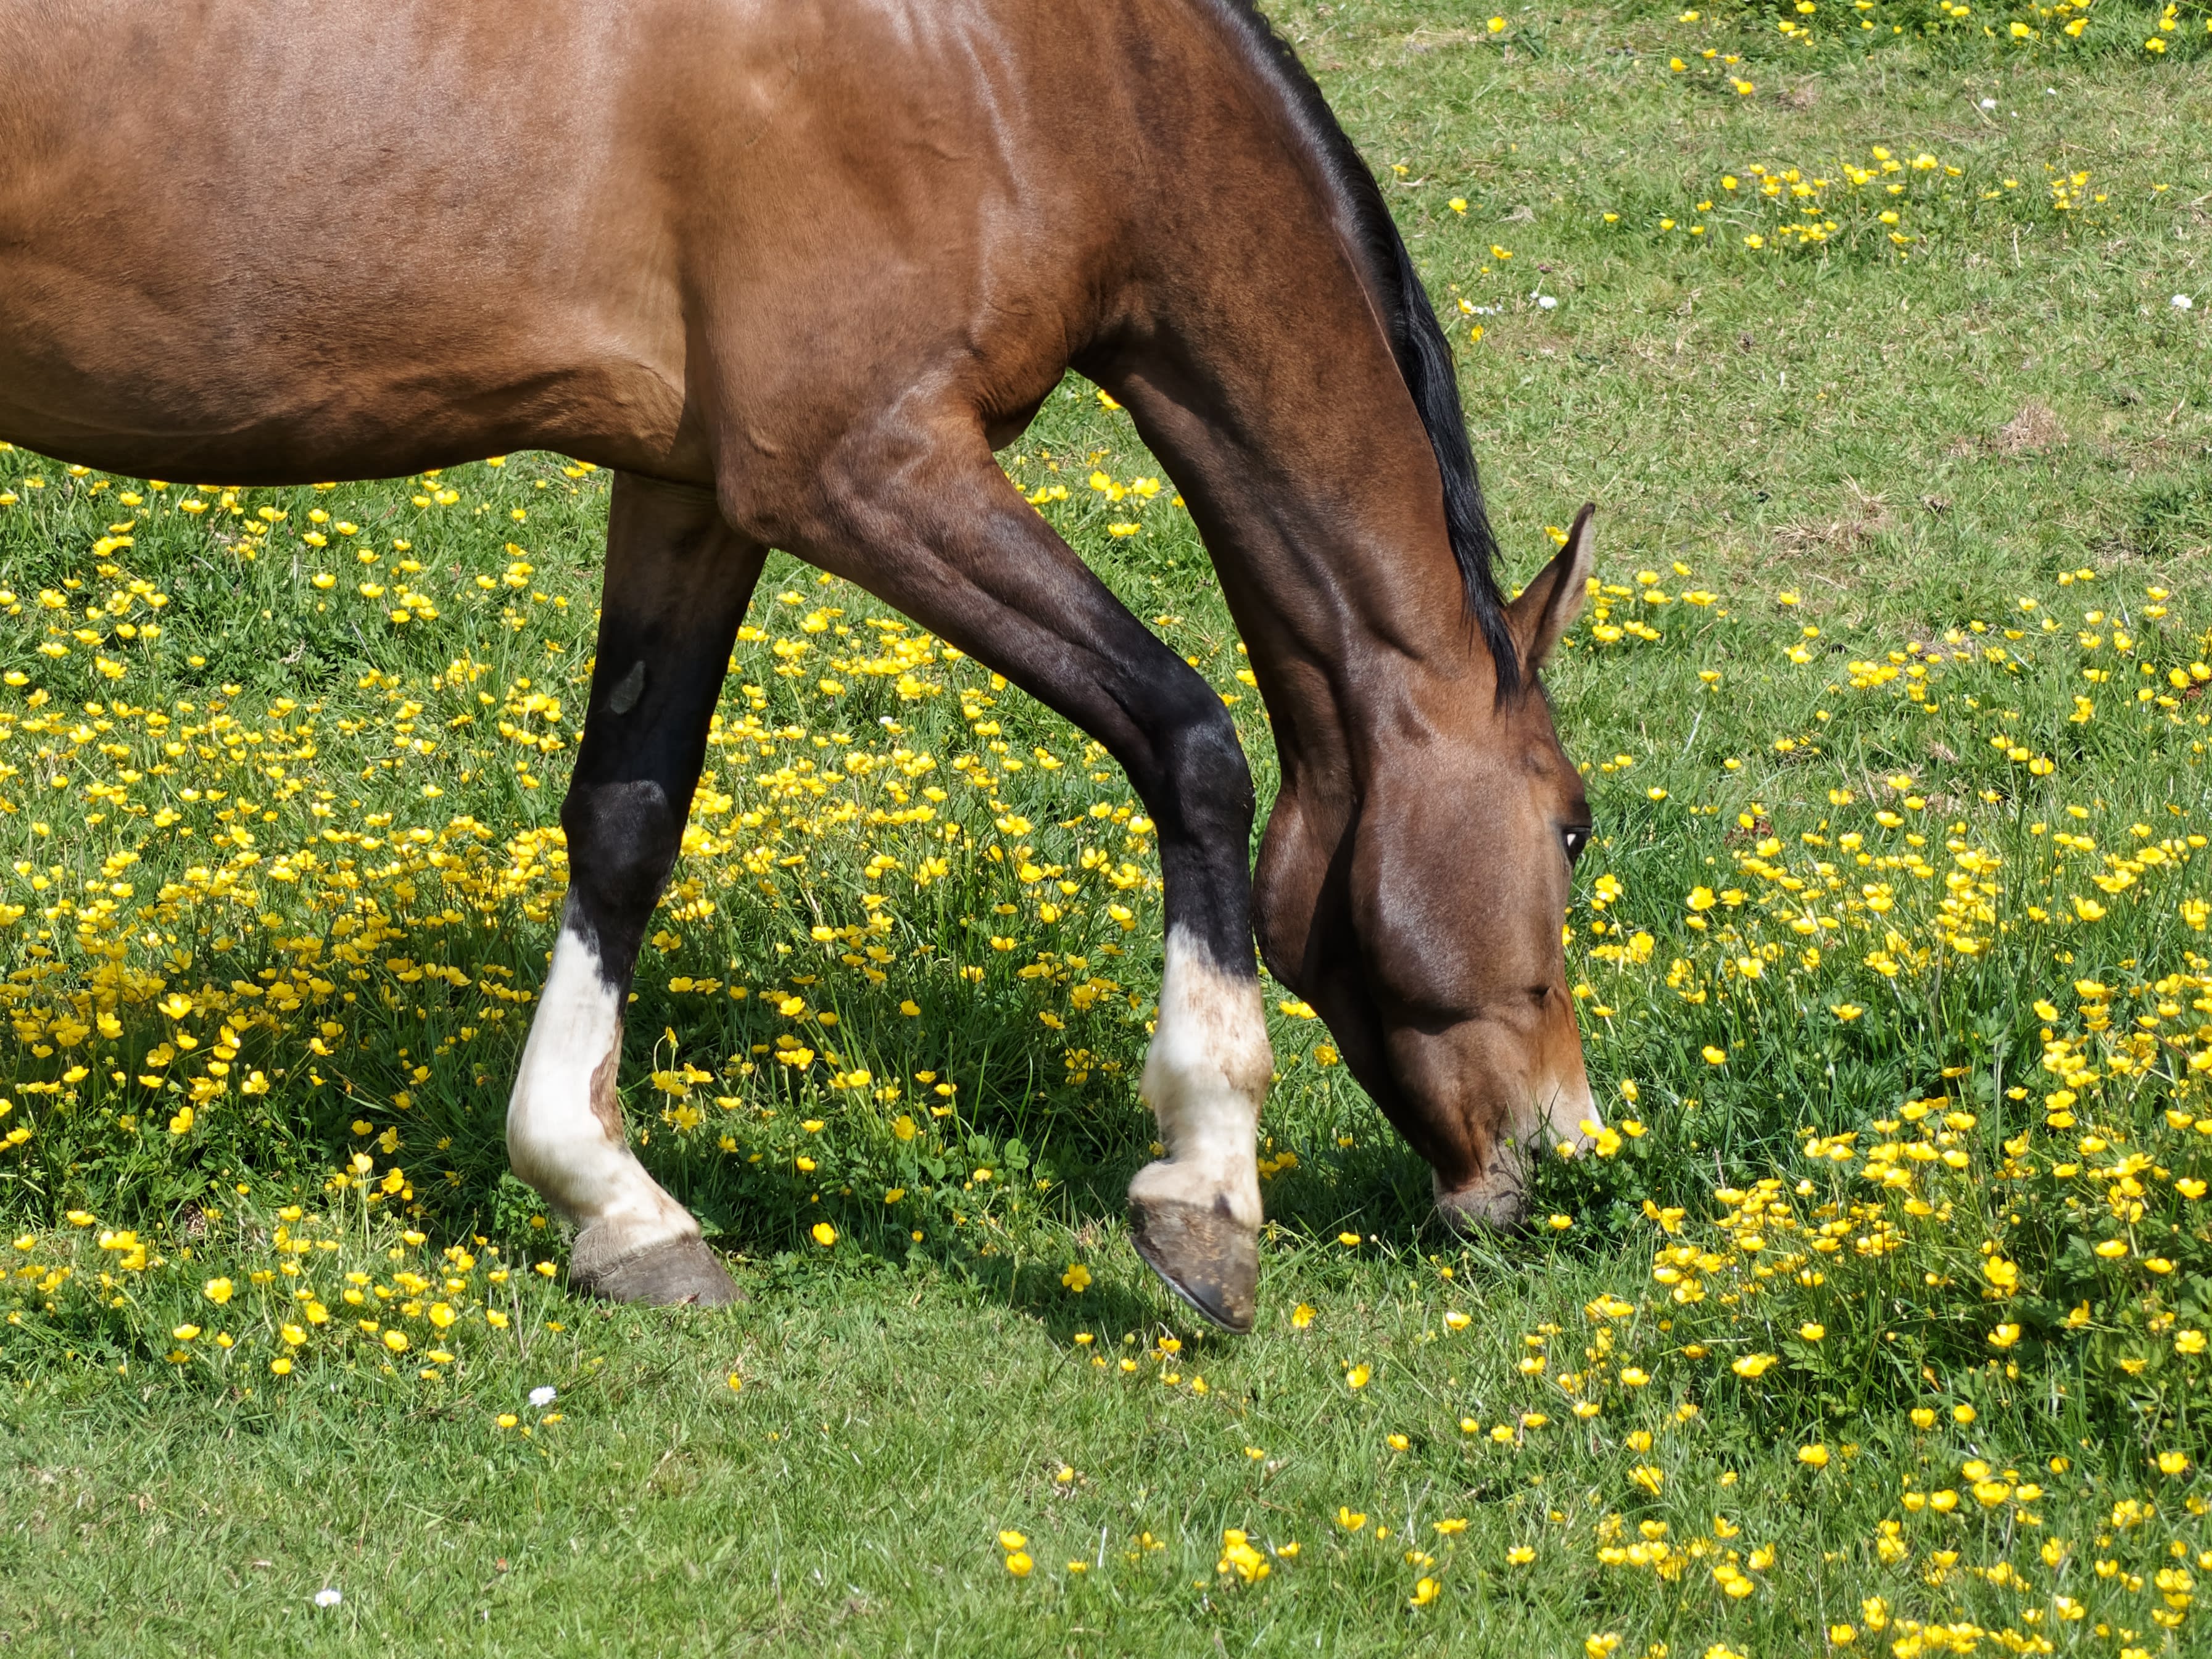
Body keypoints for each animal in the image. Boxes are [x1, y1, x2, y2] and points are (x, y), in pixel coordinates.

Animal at [0, 0, 1593, 1336]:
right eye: (1573, 828)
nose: (1564, 1151)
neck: (1035, 68)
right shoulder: (864, 470)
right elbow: (1190, 741)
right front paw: (1206, 1186)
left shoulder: (691, 485)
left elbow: (627, 816)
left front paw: (609, 1200)